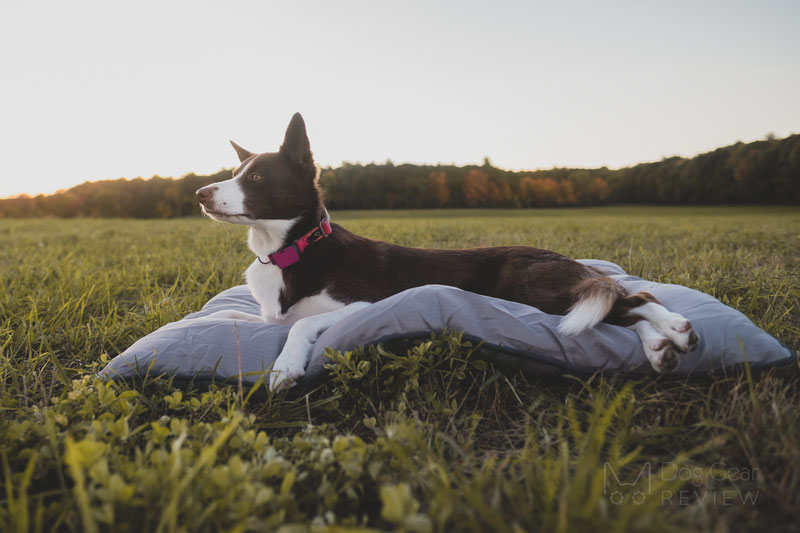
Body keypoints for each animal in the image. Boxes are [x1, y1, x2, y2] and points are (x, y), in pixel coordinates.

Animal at [197, 112, 696, 388]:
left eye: (256, 178)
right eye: (235, 171)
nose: (200, 193)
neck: (292, 249)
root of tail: (569, 262)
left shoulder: (367, 303)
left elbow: (302, 325)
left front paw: (285, 367)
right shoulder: (267, 316)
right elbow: (234, 316)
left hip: (531, 288)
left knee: (632, 297)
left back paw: (675, 328)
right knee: (619, 310)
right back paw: (661, 347)